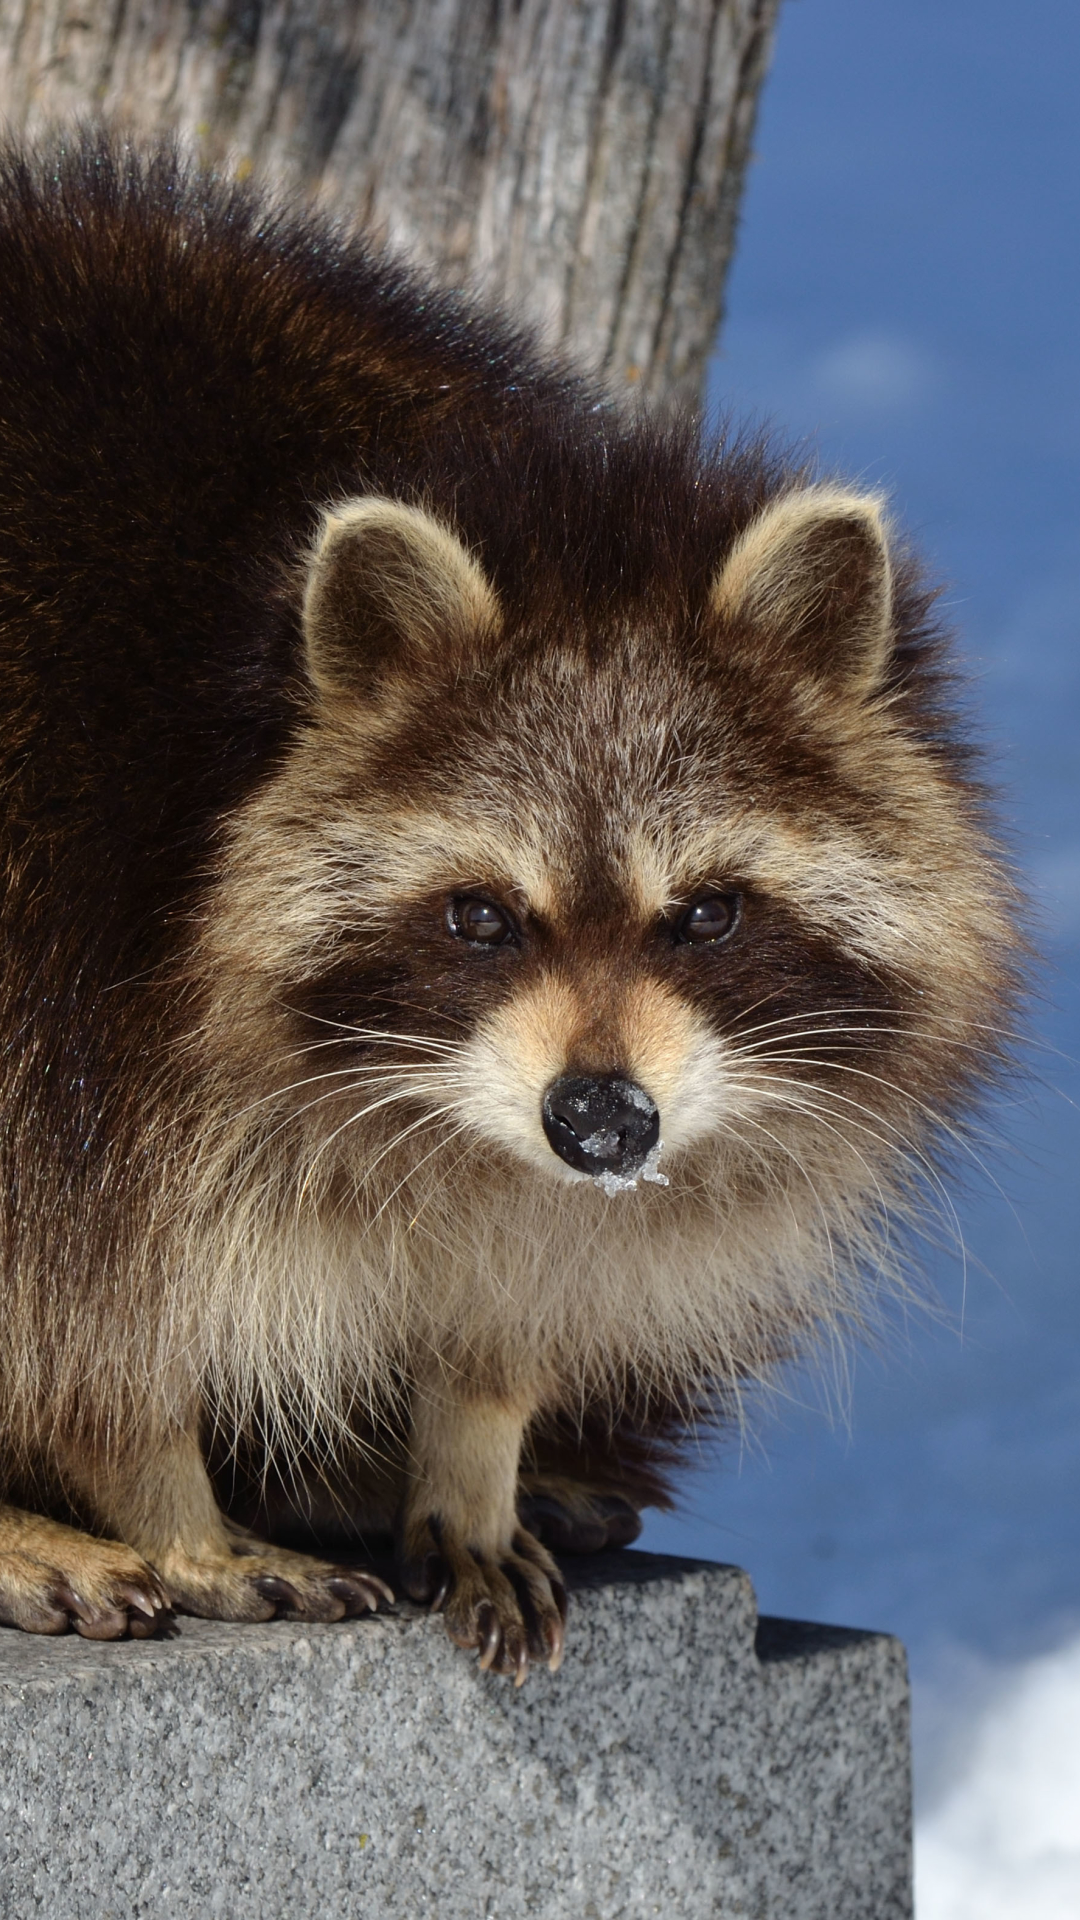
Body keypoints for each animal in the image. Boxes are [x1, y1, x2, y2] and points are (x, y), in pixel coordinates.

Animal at [0, 142, 1014, 1681]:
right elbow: (97, 1311)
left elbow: (529, 1275)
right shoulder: (85, 967)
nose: (600, 1121)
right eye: (481, 917)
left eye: (706, 915)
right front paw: (165, 1497)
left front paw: (474, 1443)